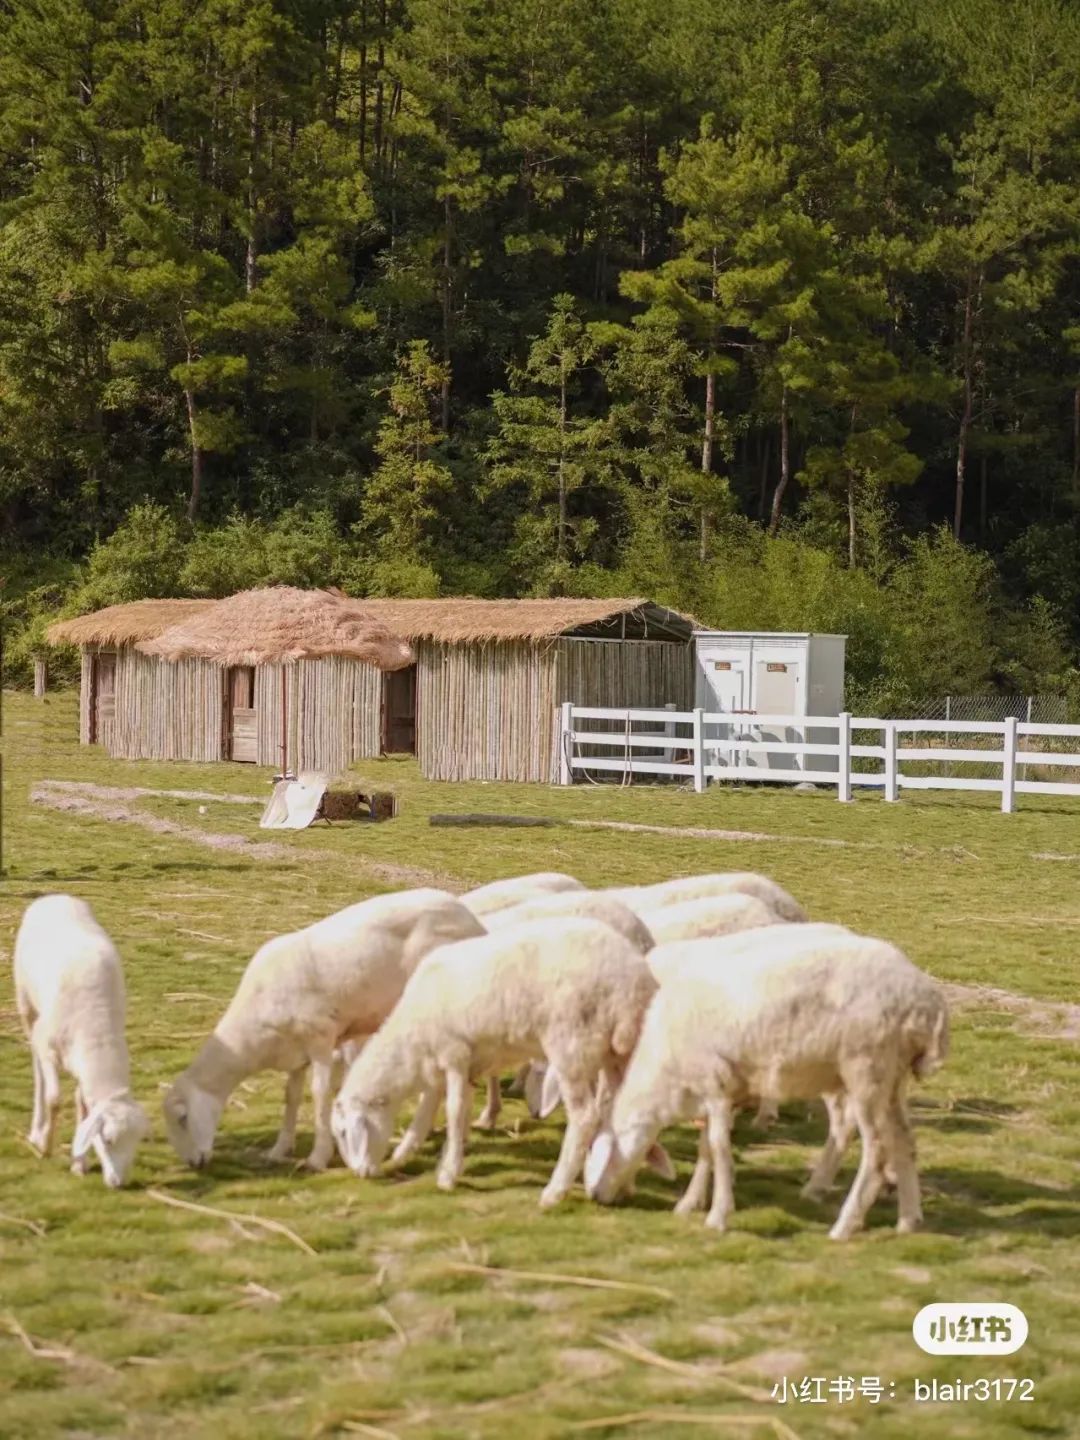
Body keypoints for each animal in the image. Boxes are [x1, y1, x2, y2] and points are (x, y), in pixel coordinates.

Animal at [13, 892, 150, 1186]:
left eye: (136, 1142)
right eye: (108, 1140)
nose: (119, 1183)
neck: (96, 1028)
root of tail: (54, 895)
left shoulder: (84, 1069)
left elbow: (82, 1104)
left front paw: (79, 1163)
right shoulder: (47, 1043)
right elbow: (55, 1098)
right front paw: (45, 1146)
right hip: (26, 1004)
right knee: (38, 1072)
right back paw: (36, 1131)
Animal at [162, 887, 483, 1169]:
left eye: (182, 1118)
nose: (193, 1163)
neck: (254, 1037)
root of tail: (472, 921)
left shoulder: (320, 1037)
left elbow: (319, 1094)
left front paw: (318, 1156)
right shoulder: (295, 1053)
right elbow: (290, 1096)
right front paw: (280, 1149)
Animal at [329, 915, 656, 1209]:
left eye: (344, 1133)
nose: (361, 1174)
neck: (410, 1039)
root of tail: (633, 982)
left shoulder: (455, 1054)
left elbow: (453, 1110)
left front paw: (448, 1174)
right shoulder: (453, 1062)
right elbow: (433, 1107)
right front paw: (413, 1151)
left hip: (571, 1045)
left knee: (585, 1117)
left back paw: (555, 1191)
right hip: (619, 1054)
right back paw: (621, 1185)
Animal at [587, 927, 950, 1244]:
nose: (596, 1197)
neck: (666, 1074)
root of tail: (927, 1000)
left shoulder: (715, 1084)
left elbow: (718, 1148)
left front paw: (718, 1215)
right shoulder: (722, 1091)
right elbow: (706, 1148)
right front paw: (690, 1203)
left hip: (866, 1069)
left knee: (875, 1151)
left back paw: (844, 1225)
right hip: (893, 1076)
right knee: (904, 1140)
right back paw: (908, 1220)